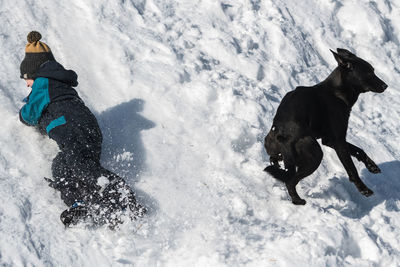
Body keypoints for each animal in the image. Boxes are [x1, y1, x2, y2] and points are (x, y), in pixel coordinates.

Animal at [266, 48, 388, 205]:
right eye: (369, 73)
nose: (385, 86)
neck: (336, 91)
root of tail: (281, 133)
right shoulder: (338, 141)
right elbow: (351, 168)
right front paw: (363, 188)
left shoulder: (329, 140)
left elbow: (359, 150)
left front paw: (372, 166)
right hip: (315, 155)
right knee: (290, 181)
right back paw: (298, 200)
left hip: (277, 148)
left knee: (278, 164)